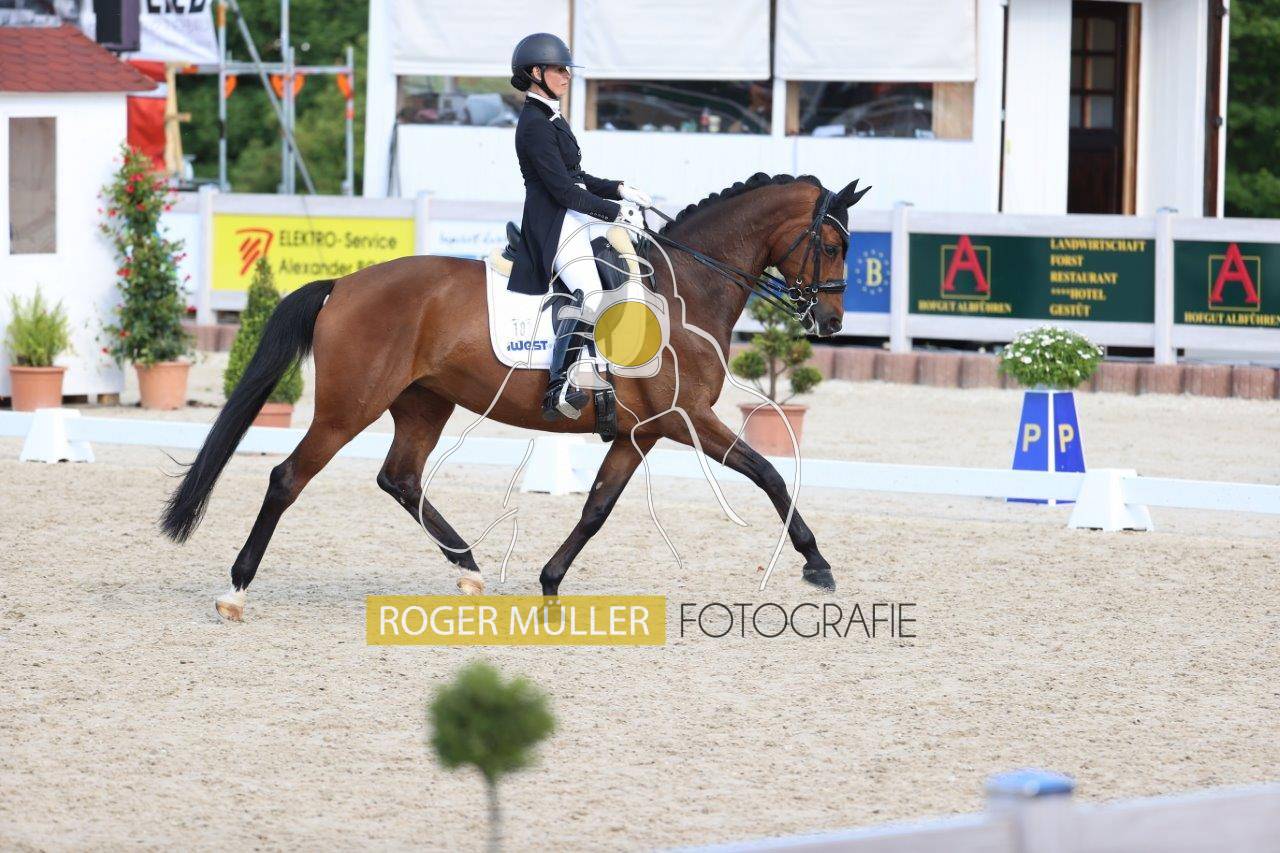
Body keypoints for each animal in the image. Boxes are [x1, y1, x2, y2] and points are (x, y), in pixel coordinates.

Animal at [159, 172, 868, 621]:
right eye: (833, 244)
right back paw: (236, 590)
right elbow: (770, 474)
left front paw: (550, 582)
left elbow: (596, 508)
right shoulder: (686, 418)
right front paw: (817, 564)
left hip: (424, 402)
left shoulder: (639, 432)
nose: (832, 322)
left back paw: (470, 568)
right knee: (287, 478)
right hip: (347, 408)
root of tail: (344, 284)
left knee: (401, 479)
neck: (687, 287)